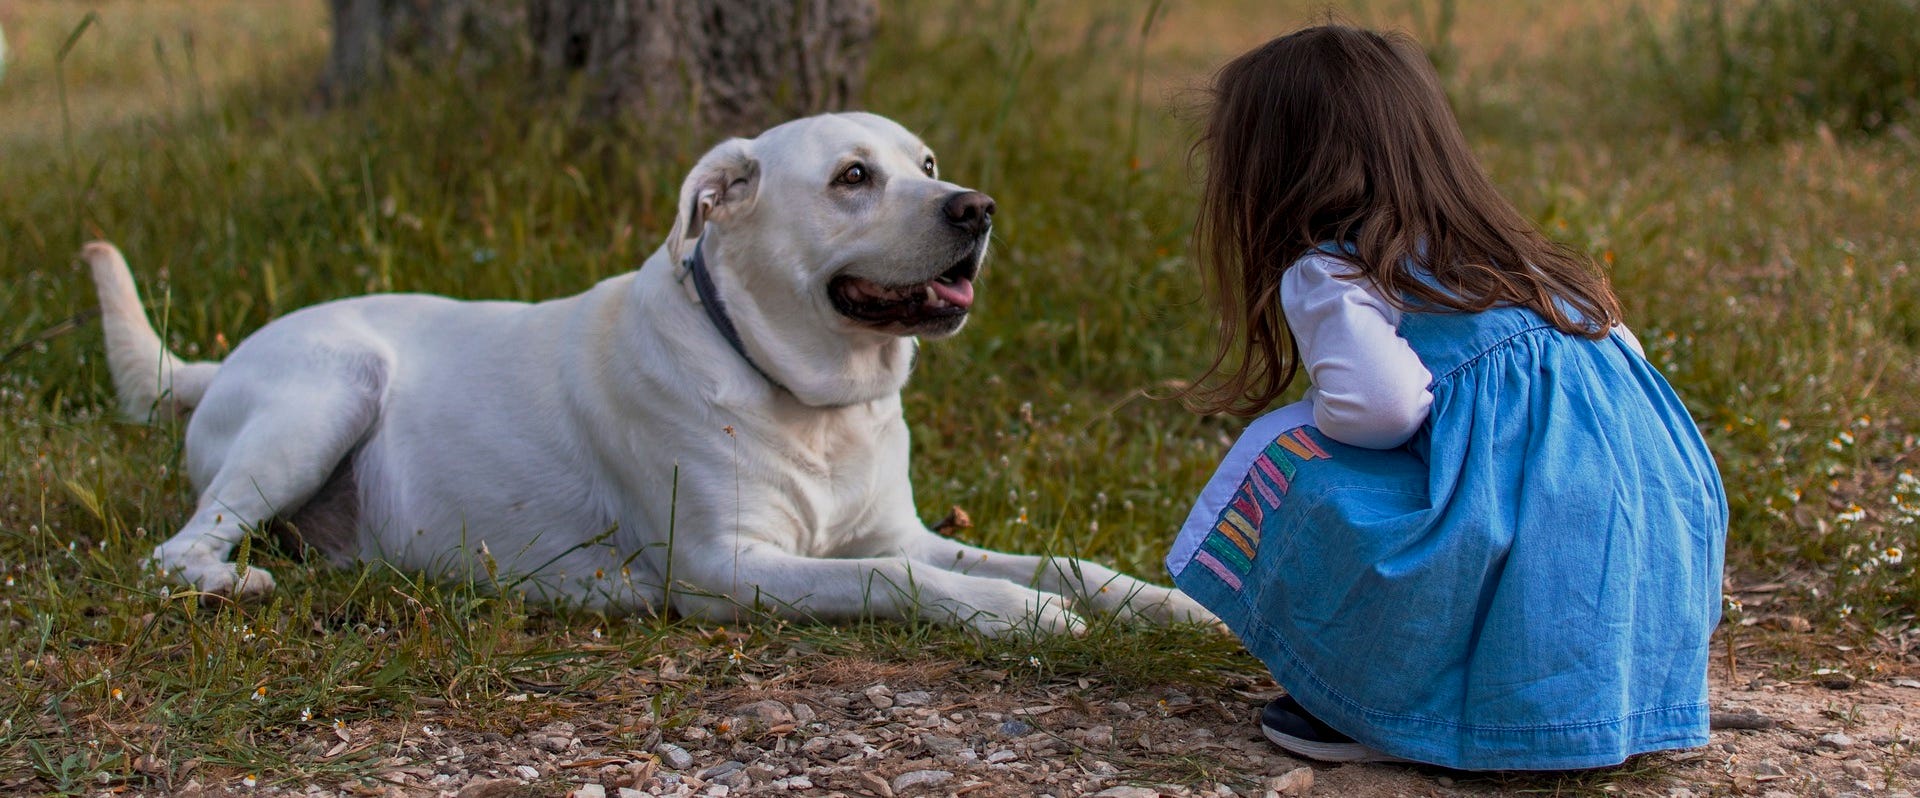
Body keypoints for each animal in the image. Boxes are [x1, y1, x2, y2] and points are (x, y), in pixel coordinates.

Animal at [86, 110, 1213, 636]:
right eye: (853, 177)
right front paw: (1020, 618)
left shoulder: (899, 530)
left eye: (926, 165)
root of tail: (221, 359)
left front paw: (1165, 604)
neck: (810, 400)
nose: (976, 209)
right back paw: (231, 582)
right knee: (174, 551)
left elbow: (1060, 561)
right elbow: (900, 581)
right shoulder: (729, 567)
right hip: (327, 393)